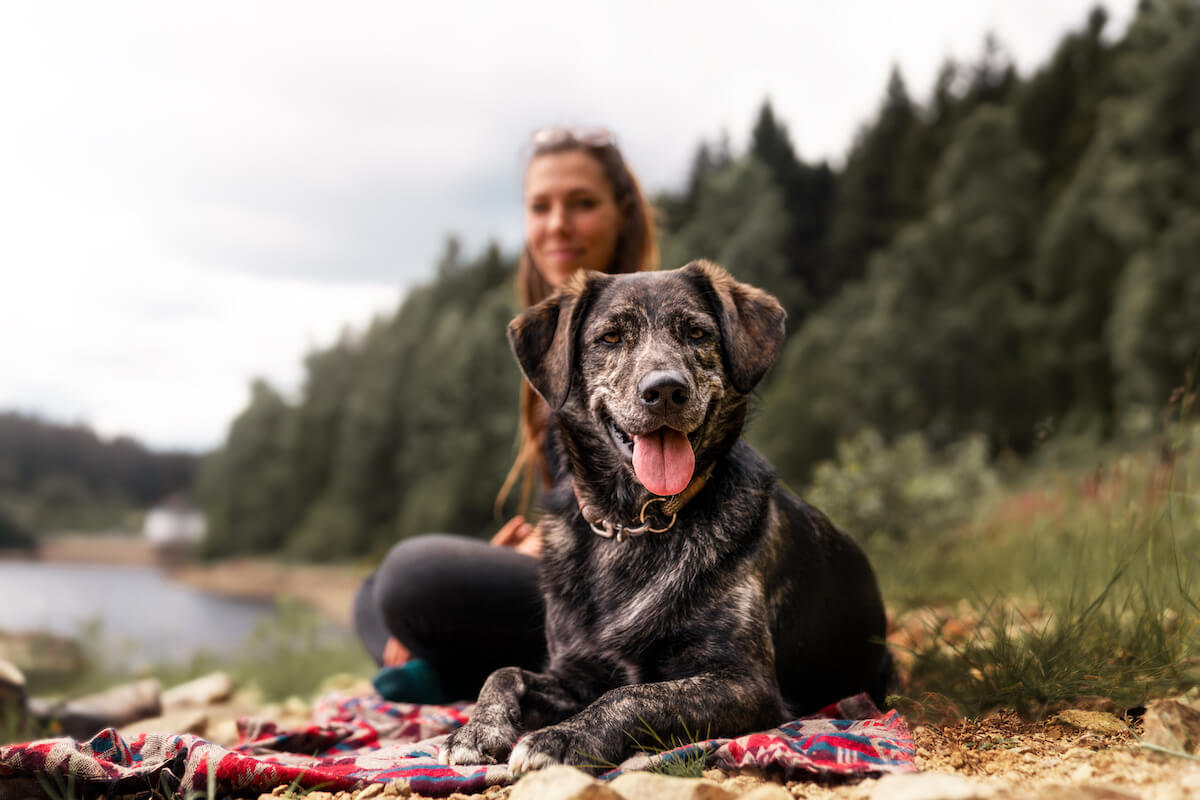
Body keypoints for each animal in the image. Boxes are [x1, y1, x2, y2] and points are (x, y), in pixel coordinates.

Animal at [441, 262, 892, 777]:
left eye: (697, 332)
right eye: (611, 337)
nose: (665, 390)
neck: (633, 523)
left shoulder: (747, 683)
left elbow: (634, 694)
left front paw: (562, 737)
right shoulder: (575, 673)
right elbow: (504, 672)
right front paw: (476, 730)